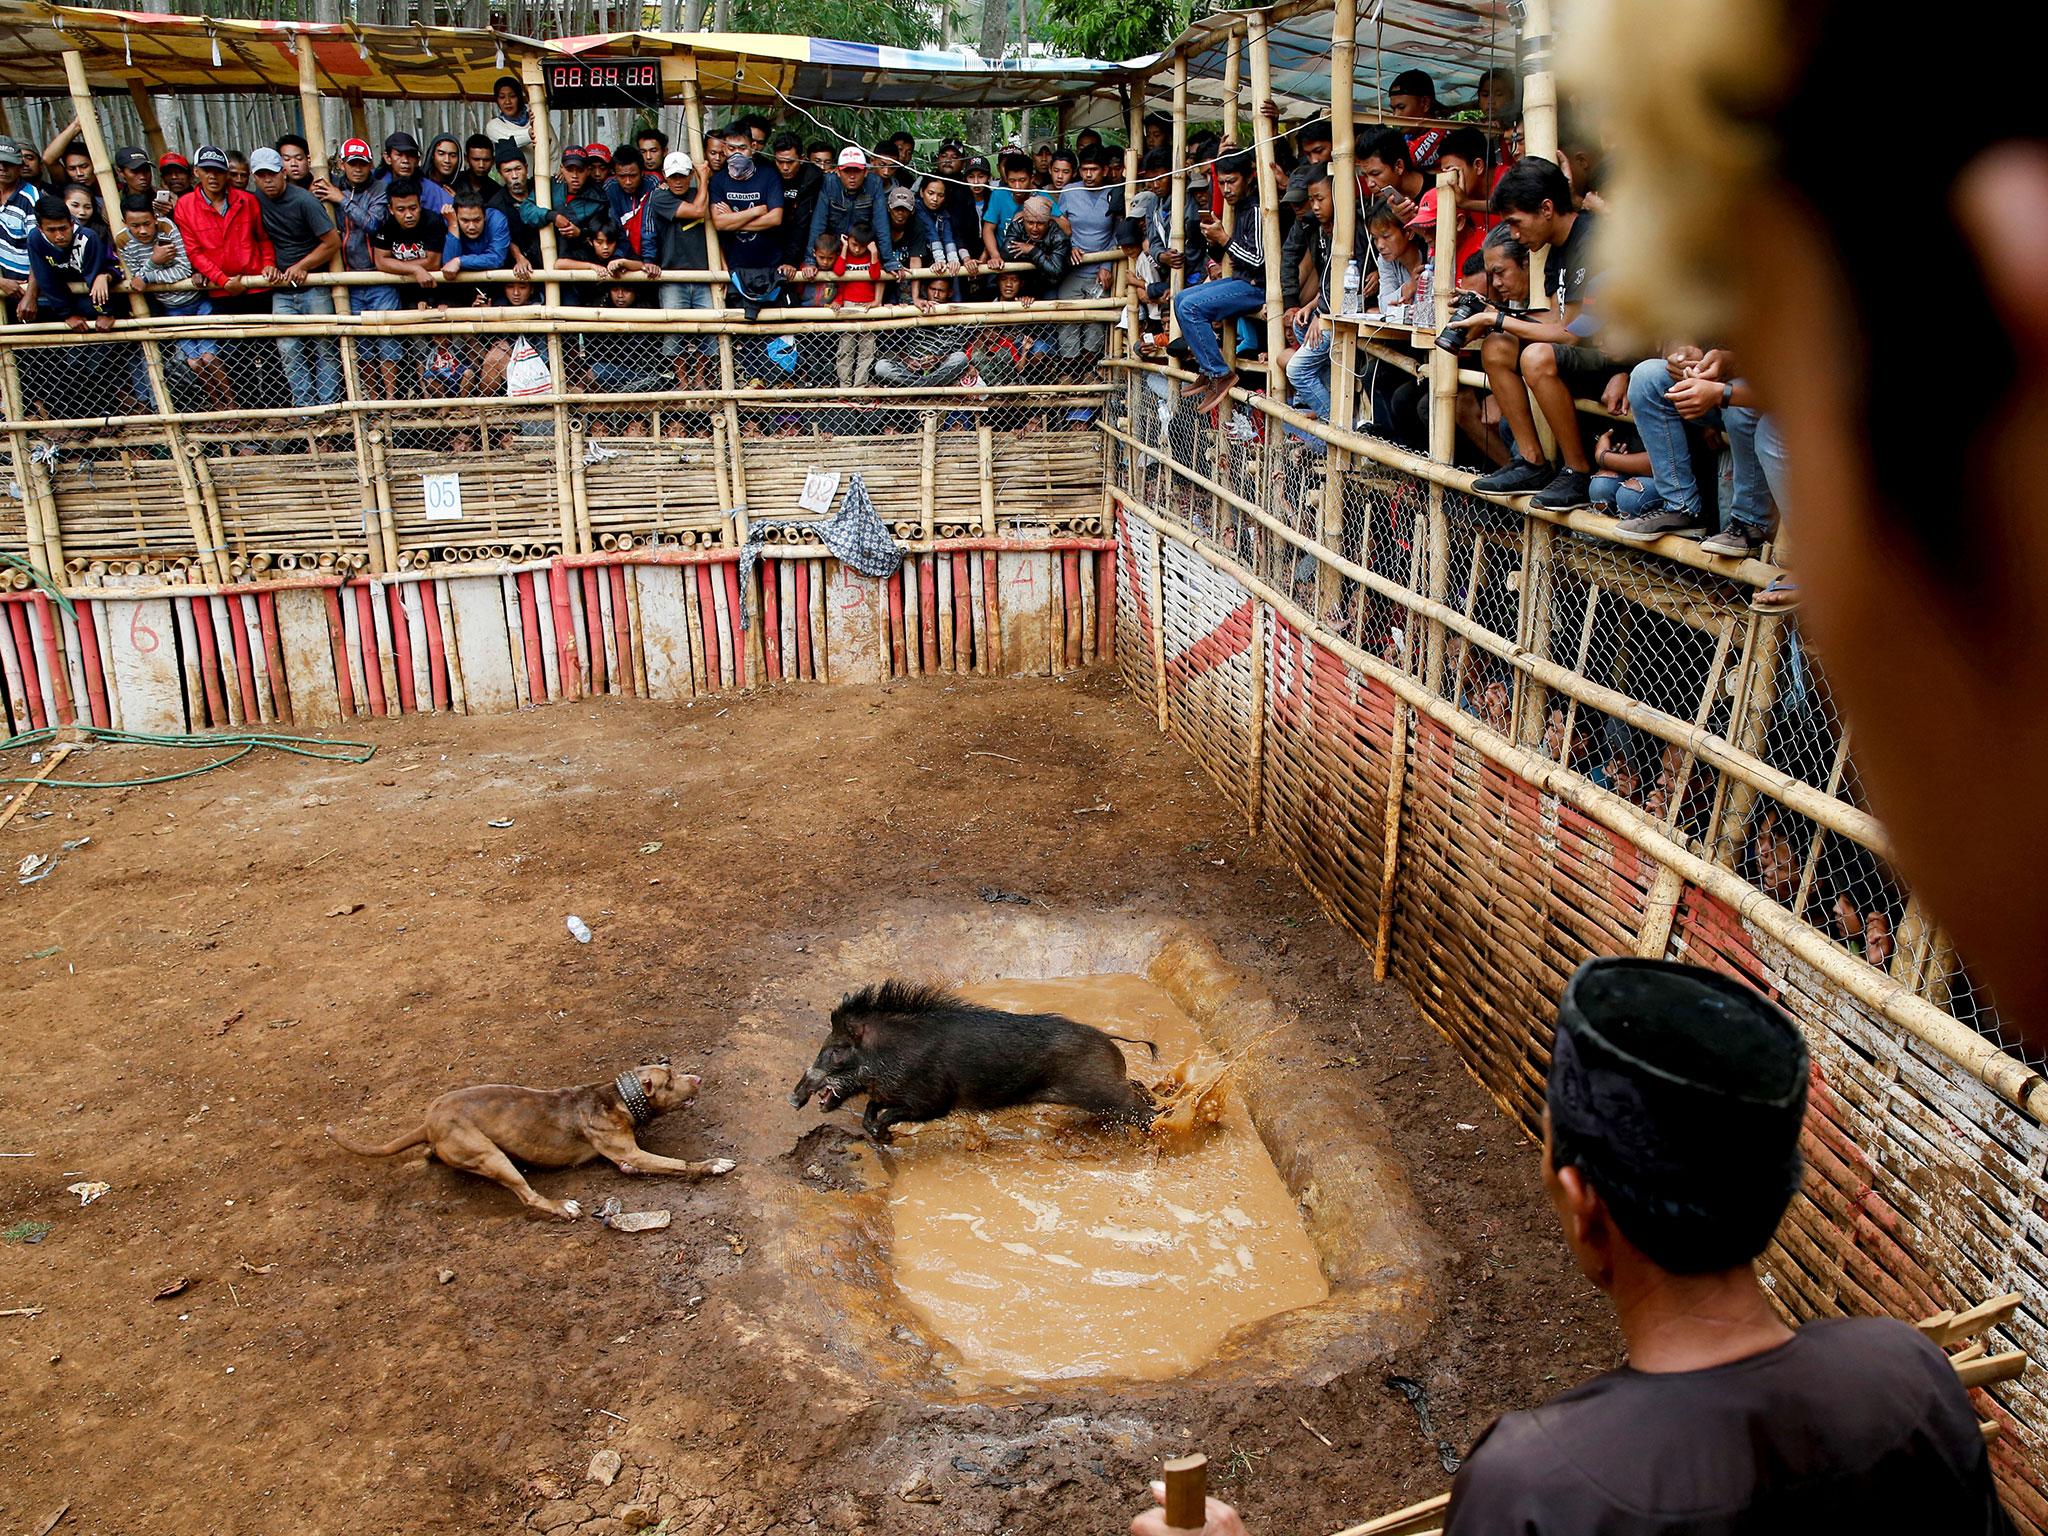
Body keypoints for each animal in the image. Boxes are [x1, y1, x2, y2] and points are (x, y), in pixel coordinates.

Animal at [323, 1064, 733, 1220]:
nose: (697, 1078)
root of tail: (427, 1123)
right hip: (489, 1155)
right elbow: (677, 1163)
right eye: (670, 1081)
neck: (615, 1096)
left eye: (672, 1070)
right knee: (528, 1196)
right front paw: (712, 1164)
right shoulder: (629, 1154)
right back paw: (561, 1206)